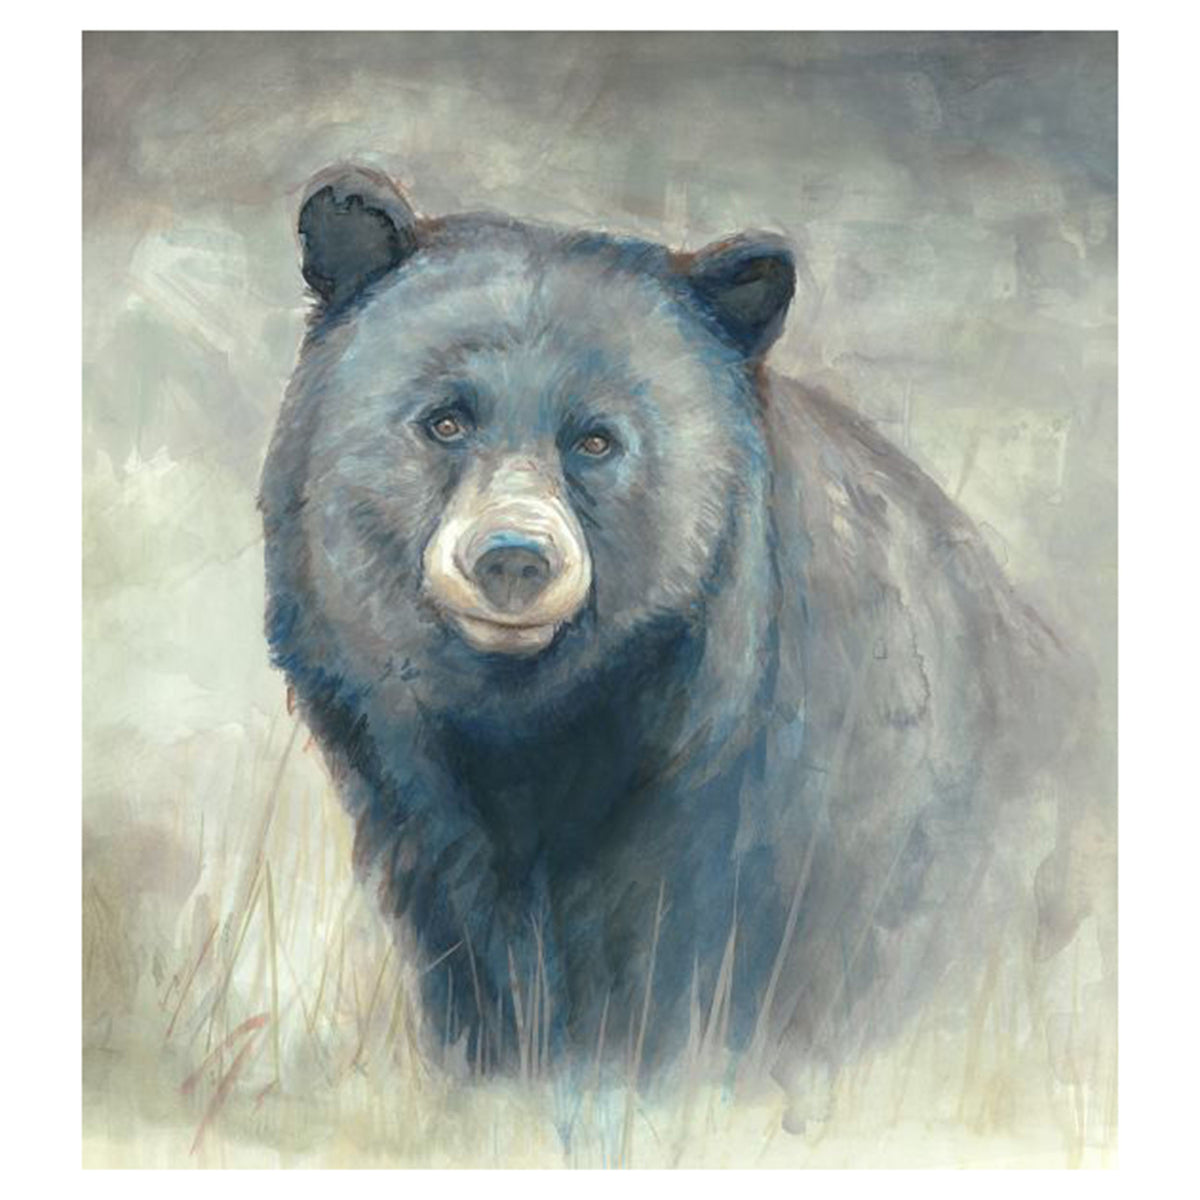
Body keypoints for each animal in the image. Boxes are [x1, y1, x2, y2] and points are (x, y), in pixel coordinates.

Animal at [260, 164, 1080, 1095]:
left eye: (596, 439)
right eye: (445, 419)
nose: (513, 558)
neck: (538, 726)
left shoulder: (768, 804)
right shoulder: (413, 797)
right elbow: (470, 940)